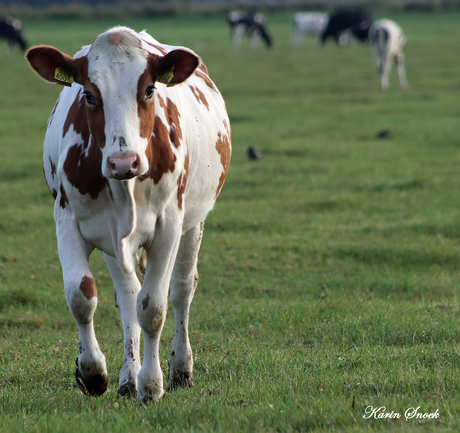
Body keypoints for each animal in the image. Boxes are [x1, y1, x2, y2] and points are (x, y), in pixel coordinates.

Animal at [27, 27, 232, 404]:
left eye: (149, 89)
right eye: (89, 94)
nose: (124, 162)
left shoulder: (169, 226)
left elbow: (152, 307)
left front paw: (151, 385)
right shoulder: (68, 221)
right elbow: (82, 296)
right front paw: (93, 372)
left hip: (194, 222)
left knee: (182, 289)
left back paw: (180, 368)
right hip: (114, 239)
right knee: (126, 295)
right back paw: (127, 377)